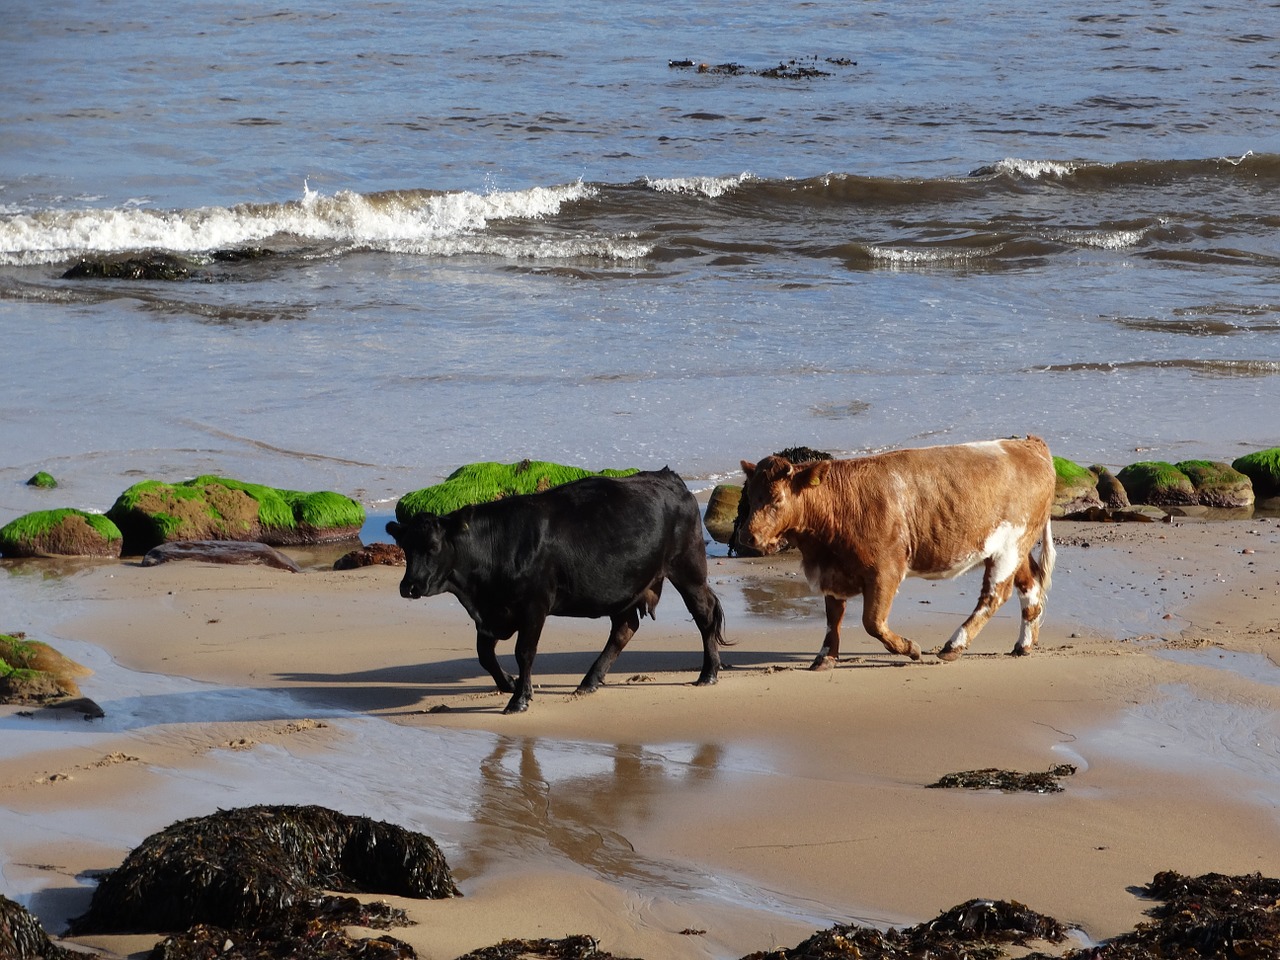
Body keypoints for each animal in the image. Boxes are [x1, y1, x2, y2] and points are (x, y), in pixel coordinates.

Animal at [386, 465, 732, 716]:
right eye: (405, 547)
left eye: (433, 546)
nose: (410, 586)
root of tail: (668, 477)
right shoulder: (493, 613)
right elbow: (484, 654)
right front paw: (509, 683)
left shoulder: (534, 605)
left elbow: (524, 652)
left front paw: (518, 700)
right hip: (628, 584)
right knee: (625, 627)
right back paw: (589, 681)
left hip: (687, 568)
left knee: (704, 613)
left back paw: (708, 673)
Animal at [737, 437, 1054, 670]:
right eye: (750, 496)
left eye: (777, 499)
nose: (748, 536)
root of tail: (1027, 444)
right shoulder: (833, 571)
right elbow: (833, 617)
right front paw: (825, 657)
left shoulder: (885, 571)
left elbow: (873, 622)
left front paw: (911, 649)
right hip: (1015, 548)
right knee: (1029, 585)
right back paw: (1023, 645)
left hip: (1009, 548)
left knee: (994, 595)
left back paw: (954, 646)